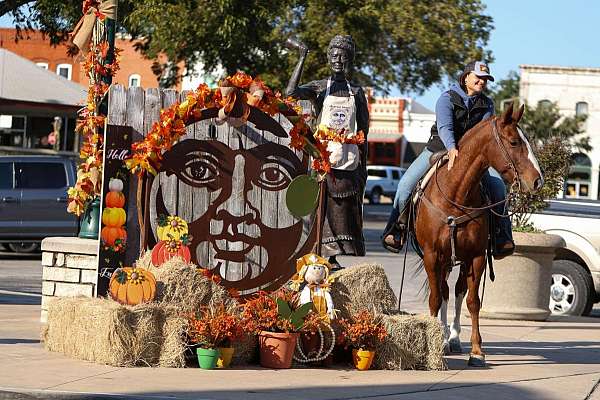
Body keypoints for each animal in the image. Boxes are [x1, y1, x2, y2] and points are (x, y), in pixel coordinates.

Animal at [414, 102, 540, 366]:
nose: (537, 180)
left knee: (457, 290)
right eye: (514, 142)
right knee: (443, 292)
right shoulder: (432, 256)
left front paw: (476, 351)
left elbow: (473, 301)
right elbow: (434, 298)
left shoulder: (476, 257)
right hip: (442, 260)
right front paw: (434, 346)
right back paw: (443, 338)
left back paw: (452, 339)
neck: (456, 194)